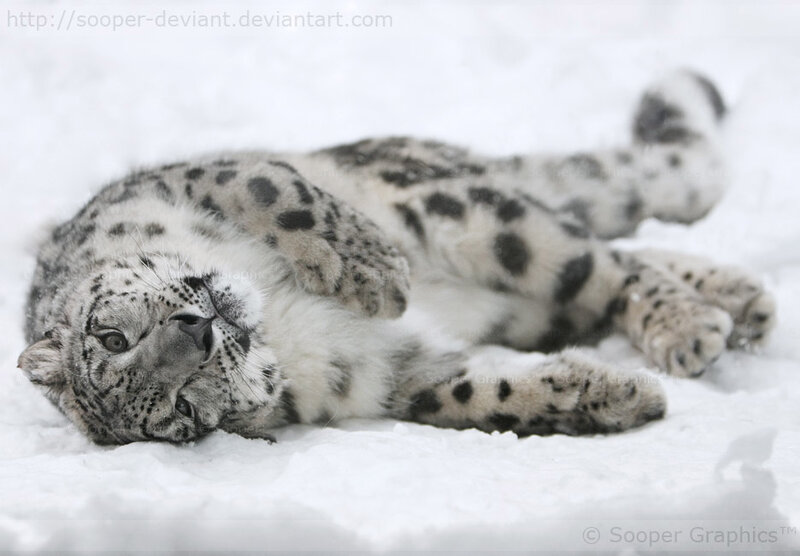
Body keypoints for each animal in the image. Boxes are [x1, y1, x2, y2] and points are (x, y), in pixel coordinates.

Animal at [18, 70, 776, 445]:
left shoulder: (189, 179)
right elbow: (479, 394)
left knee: (603, 258)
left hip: (465, 212)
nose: (198, 330)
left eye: (110, 336)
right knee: (608, 263)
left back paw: (691, 323)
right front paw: (606, 395)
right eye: (181, 412)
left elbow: (276, 191)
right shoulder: (392, 373)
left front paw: (368, 270)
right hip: (531, 306)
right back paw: (736, 305)